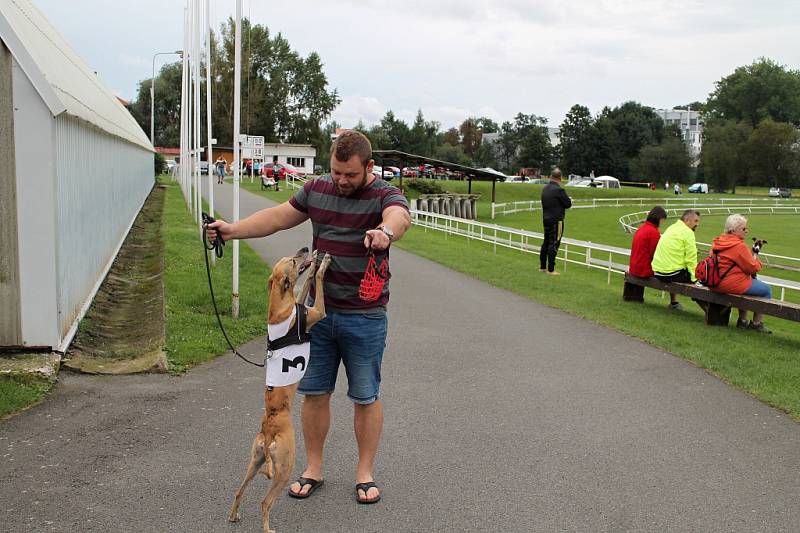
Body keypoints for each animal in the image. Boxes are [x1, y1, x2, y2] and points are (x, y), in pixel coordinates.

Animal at [230, 247, 330, 532]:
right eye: (293, 262)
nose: (305, 249)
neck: (278, 306)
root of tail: (268, 432)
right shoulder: (317, 312)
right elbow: (318, 281)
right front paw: (321, 265)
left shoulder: (300, 304)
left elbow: (304, 287)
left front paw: (315, 262)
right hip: (285, 467)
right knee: (265, 502)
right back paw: (267, 528)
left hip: (254, 462)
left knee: (239, 491)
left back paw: (234, 516)